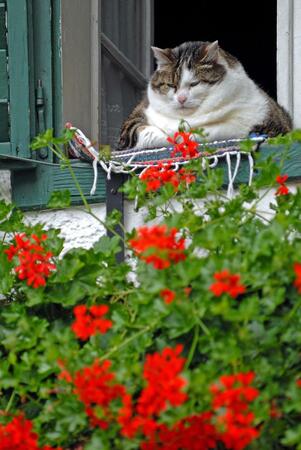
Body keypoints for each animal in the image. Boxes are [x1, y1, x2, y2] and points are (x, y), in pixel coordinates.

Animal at [118, 41, 292, 149]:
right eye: (171, 85)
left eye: (194, 84)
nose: (181, 99)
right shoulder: (132, 123)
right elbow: (146, 132)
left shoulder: (255, 117)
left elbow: (213, 131)